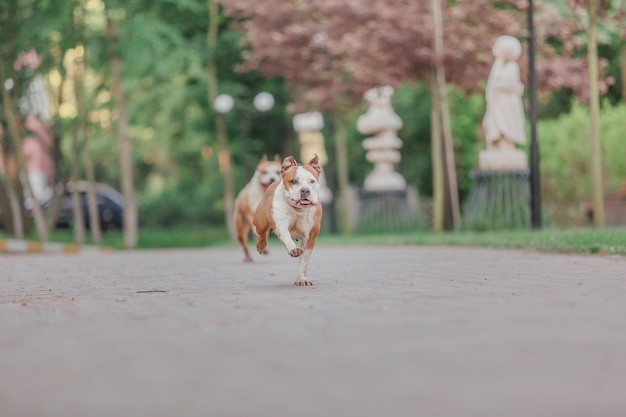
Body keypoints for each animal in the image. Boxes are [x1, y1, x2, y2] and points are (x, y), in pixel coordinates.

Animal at [252, 154, 322, 284]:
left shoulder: (309, 238)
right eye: (293, 181)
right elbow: (286, 237)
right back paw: (261, 246)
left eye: (312, 181)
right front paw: (293, 250)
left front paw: (302, 279)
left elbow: (304, 261)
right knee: (262, 233)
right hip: (260, 222)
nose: (305, 190)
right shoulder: (281, 226)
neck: (298, 210)